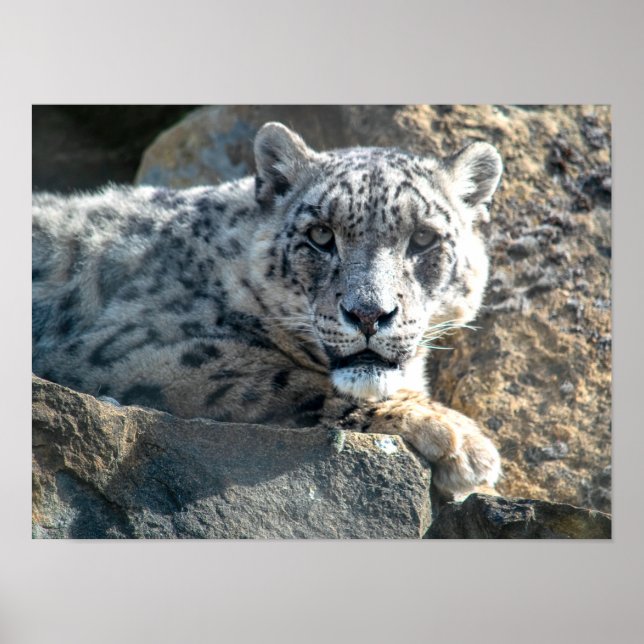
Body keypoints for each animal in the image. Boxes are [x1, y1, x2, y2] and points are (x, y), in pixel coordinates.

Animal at [32, 121, 503, 499]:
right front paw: (460, 439)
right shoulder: (135, 350)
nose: (368, 314)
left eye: (423, 238)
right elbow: (284, 377)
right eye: (320, 234)